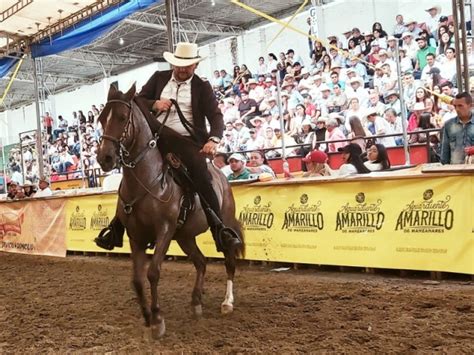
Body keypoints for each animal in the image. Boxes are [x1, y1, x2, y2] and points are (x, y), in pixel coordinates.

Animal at [96, 84, 244, 340]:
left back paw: (227, 302)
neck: (148, 181)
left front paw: (157, 319)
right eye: (101, 119)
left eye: (122, 117)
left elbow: (153, 272)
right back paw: (196, 302)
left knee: (229, 261)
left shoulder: (164, 230)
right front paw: (147, 316)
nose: (104, 157)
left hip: (220, 225)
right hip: (185, 237)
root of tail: (221, 177)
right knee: (201, 262)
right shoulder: (135, 236)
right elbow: (137, 280)